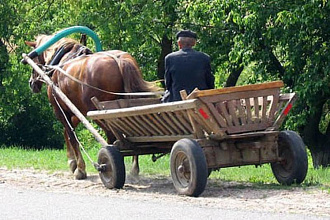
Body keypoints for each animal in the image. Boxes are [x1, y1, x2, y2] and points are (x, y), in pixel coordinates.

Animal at [24, 35, 161, 180]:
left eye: (34, 58)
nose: (31, 83)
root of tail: (119, 60)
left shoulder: (61, 110)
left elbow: (72, 135)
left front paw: (80, 169)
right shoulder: (77, 112)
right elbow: (66, 132)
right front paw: (72, 162)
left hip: (98, 112)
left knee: (111, 135)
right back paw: (134, 168)